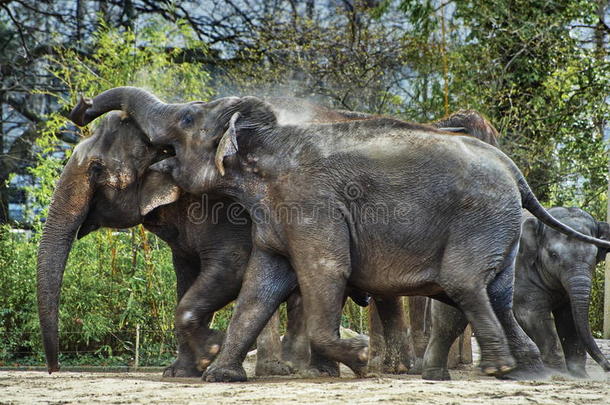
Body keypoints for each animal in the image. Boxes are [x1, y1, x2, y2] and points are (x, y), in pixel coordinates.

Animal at [418, 207, 608, 380]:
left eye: (595, 256)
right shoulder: (521, 270)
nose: (607, 367)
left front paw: (578, 375)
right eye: (553, 255)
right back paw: (439, 376)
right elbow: (532, 315)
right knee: (449, 323)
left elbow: (569, 319)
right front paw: (558, 374)